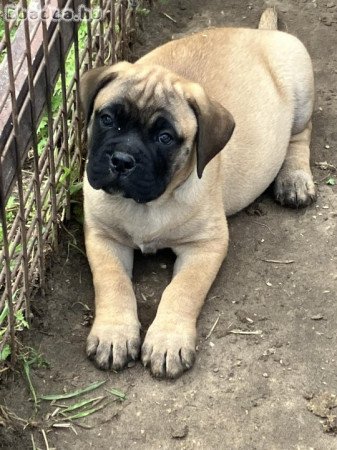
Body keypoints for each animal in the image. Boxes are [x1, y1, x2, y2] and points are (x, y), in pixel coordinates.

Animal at [80, 8, 316, 378]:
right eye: (106, 119)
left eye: (165, 138)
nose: (121, 160)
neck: (148, 205)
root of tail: (262, 33)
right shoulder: (103, 237)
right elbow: (112, 283)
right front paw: (113, 334)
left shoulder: (205, 246)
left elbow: (182, 290)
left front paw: (167, 341)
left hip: (301, 90)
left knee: (301, 134)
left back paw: (294, 179)